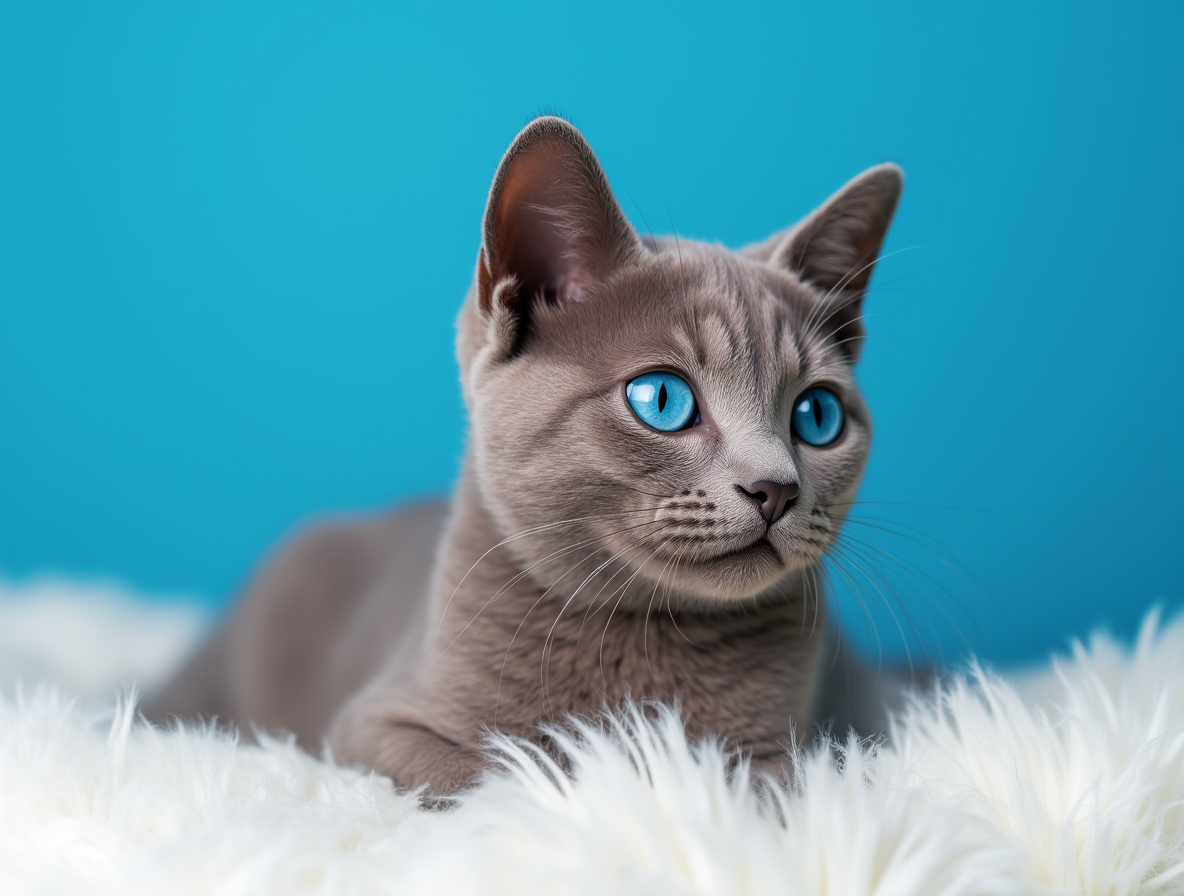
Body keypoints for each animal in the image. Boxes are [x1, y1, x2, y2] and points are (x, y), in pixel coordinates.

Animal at [148, 115, 904, 795]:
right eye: (661, 399)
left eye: (817, 416)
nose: (776, 487)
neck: (641, 641)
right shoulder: (371, 724)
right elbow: (493, 773)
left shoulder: (809, 744)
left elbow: (773, 783)